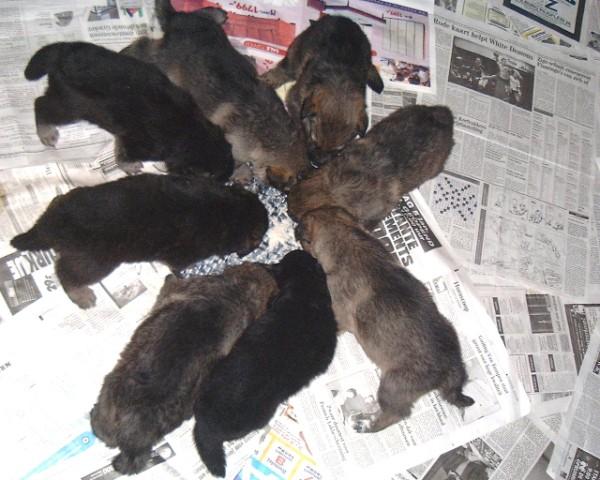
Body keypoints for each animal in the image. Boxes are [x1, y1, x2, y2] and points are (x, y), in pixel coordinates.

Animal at [10, 174, 268, 309]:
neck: (230, 211)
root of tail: (52, 227)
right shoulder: (181, 255)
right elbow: (178, 267)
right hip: (95, 261)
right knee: (65, 273)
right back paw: (81, 295)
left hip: (69, 201)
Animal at [24, 41, 233, 179]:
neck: (192, 131)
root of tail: (64, 51)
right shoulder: (140, 142)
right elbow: (125, 154)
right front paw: (129, 165)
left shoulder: (125, 133)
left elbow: (119, 144)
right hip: (71, 105)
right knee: (41, 104)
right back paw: (46, 132)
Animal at [122, 2, 309, 189]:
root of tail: (174, 19)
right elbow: (237, 162)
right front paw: (241, 173)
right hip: (160, 60)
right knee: (143, 45)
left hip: (202, 22)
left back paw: (217, 13)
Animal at [261, 15, 384, 165]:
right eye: (314, 138)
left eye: (338, 149)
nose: (316, 164)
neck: (340, 86)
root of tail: (339, 18)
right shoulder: (295, 97)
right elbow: (299, 121)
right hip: (298, 51)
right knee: (285, 70)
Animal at [296, 207, 474, 433]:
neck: (346, 235)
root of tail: (449, 366)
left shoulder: (337, 310)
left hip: (392, 386)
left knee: (398, 413)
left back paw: (370, 425)